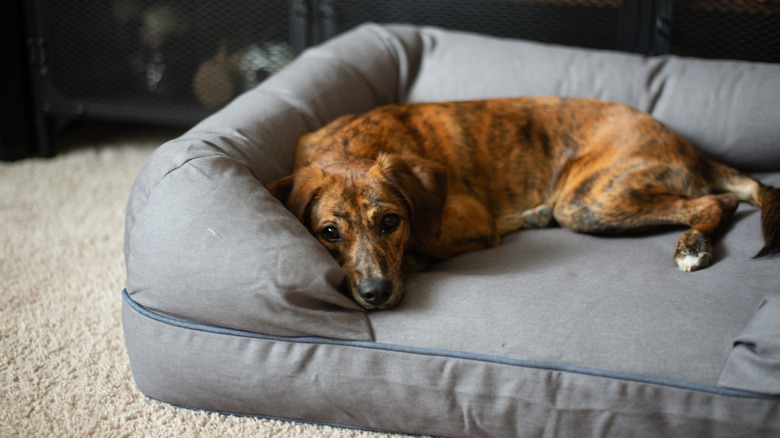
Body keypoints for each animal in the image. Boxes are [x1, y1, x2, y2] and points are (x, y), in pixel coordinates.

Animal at [266, 96, 776, 308]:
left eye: (391, 222)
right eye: (329, 233)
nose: (375, 294)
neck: (354, 145)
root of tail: (691, 148)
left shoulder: (469, 215)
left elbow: (424, 243)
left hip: (588, 200)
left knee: (718, 201)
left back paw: (693, 247)